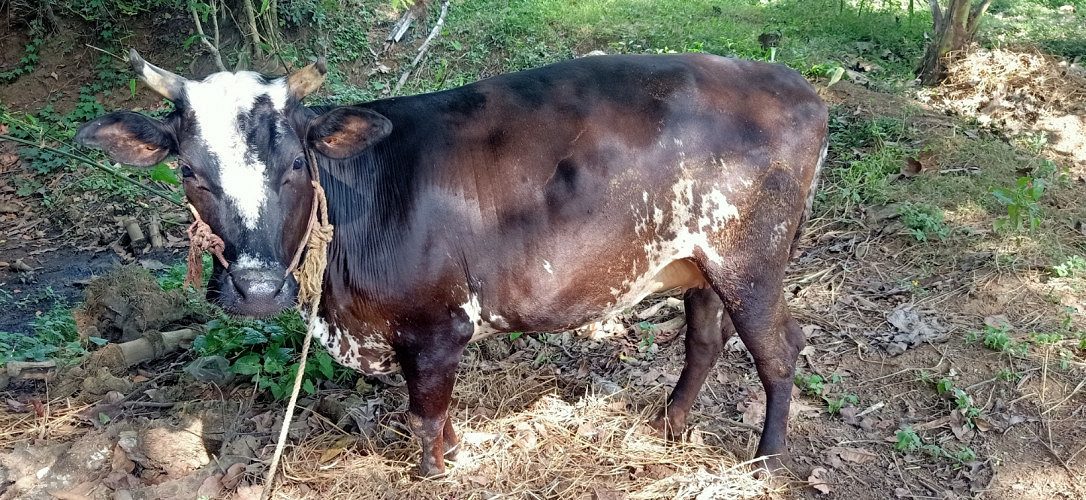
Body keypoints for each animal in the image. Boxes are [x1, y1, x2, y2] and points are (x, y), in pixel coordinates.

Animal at [76, 49, 828, 478]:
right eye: (191, 173)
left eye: (295, 165)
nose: (257, 287)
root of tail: (793, 84)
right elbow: (440, 416)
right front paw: (457, 453)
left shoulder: (437, 326)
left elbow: (425, 416)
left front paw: (434, 473)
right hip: (697, 262)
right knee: (704, 339)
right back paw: (671, 425)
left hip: (751, 262)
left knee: (781, 349)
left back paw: (767, 460)